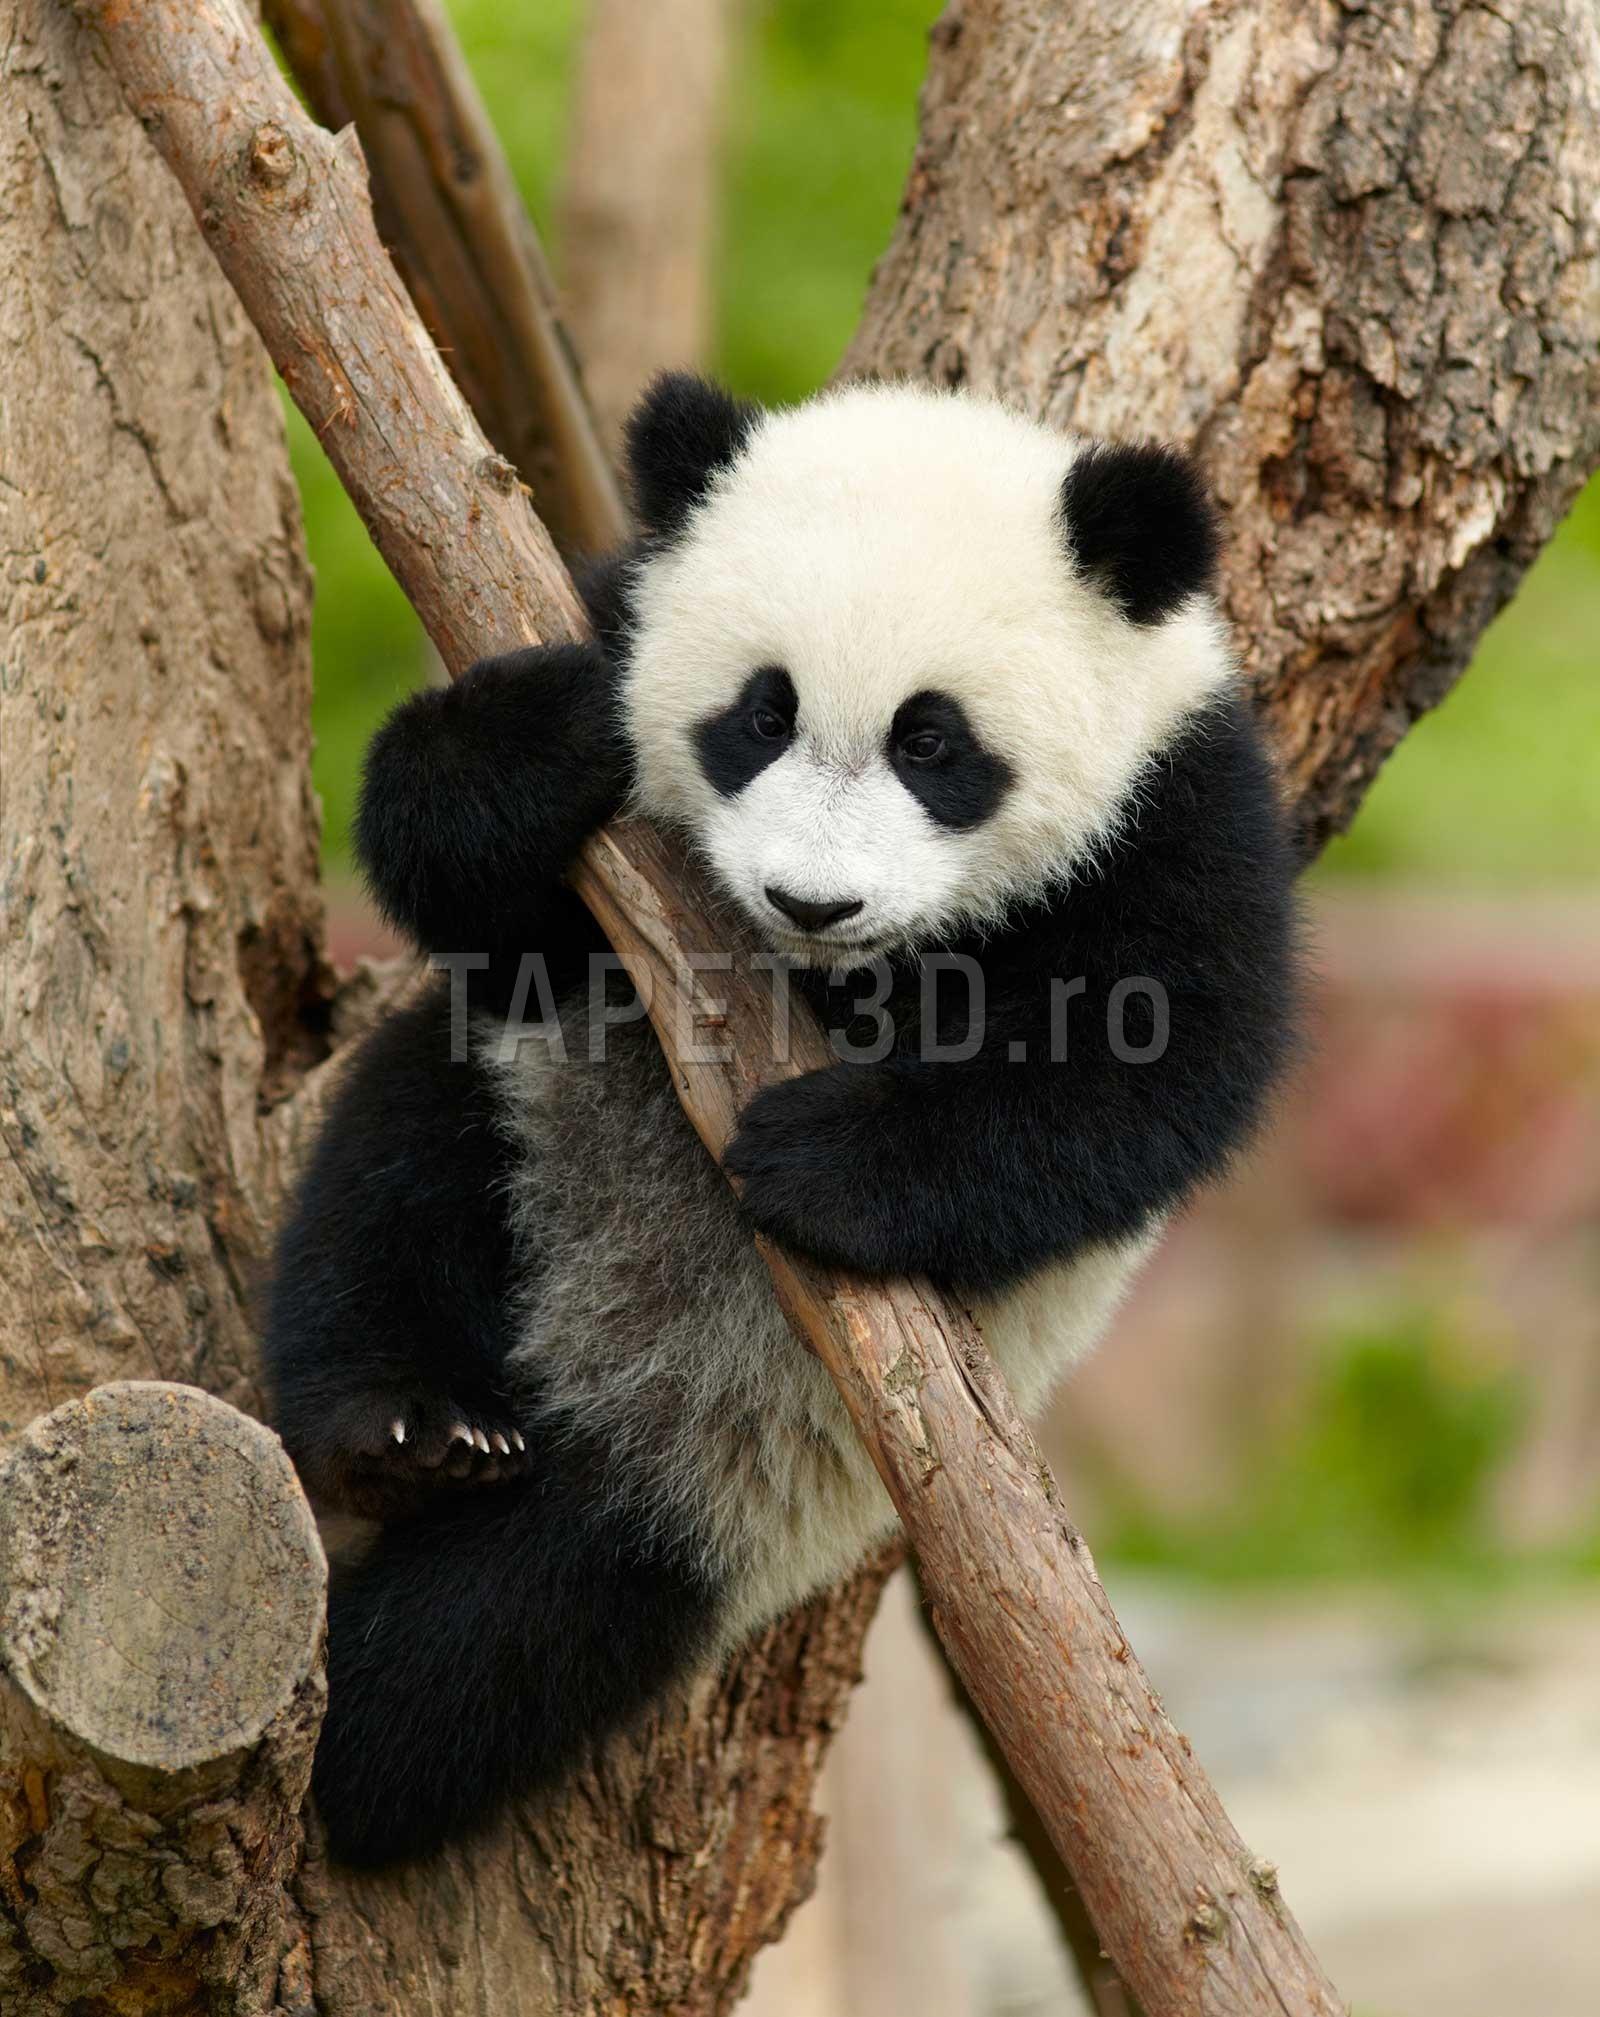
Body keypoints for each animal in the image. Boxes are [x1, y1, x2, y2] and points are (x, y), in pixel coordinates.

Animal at [266, 373, 1299, 1867]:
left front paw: (824, 1158)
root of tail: (598, 1378)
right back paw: (403, 1428)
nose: (814, 902)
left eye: (933, 742)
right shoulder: (605, 651)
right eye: (760, 715)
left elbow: (1158, 1063)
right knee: (390, 1184)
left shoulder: (1179, 802)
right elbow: (476, 892)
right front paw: (530, 745)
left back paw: (368, 1747)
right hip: (521, 1105)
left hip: (753, 1484)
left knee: (538, 1617)